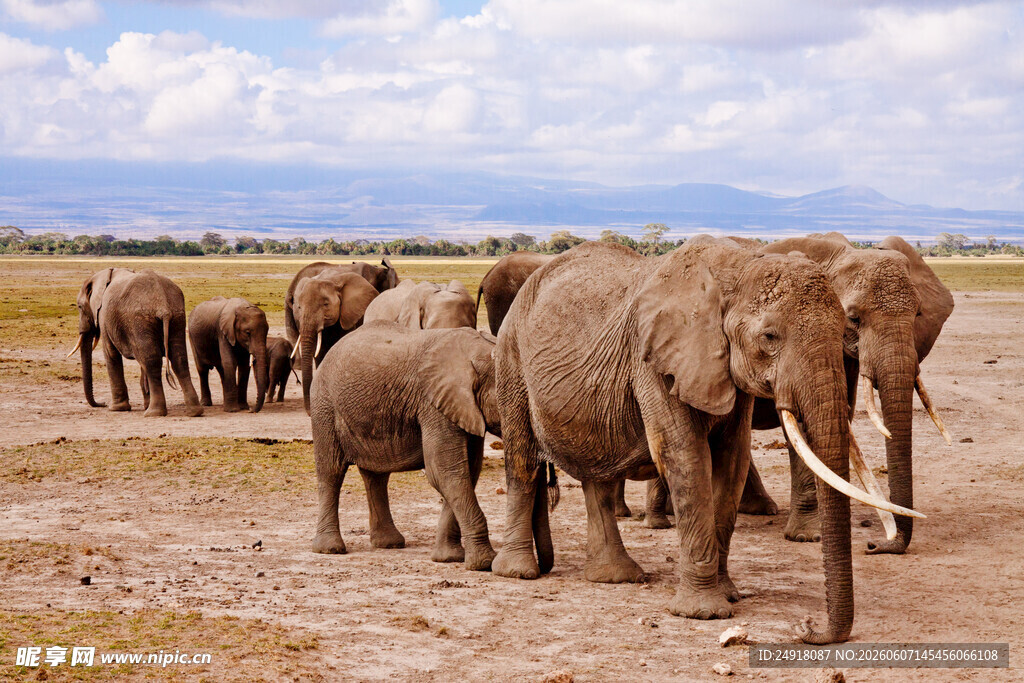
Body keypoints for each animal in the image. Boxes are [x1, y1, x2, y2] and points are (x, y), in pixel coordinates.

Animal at [68, 268, 202, 417]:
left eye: (80, 307)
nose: (102, 404)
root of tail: (163, 304)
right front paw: (144, 404)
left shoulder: (104, 316)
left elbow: (111, 353)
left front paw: (116, 408)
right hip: (177, 316)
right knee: (178, 359)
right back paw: (194, 411)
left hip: (140, 319)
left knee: (152, 362)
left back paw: (153, 413)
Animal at [310, 322, 501, 571]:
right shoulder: (433, 404)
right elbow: (445, 471)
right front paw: (485, 563)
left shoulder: (464, 408)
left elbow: (466, 471)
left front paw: (449, 558)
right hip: (324, 405)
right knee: (331, 471)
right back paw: (330, 549)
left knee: (376, 476)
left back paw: (389, 544)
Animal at [491, 238, 921, 644]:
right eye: (769, 337)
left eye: (843, 329)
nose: (807, 627)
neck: (736, 269)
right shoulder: (654, 361)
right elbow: (687, 458)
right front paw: (704, 613)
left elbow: (732, 461)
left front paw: (728, 593)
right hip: (511, 359)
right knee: (522, 460)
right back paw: (518, 571)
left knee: (597, 473)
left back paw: (614, 577)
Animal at [731, 232, 953, 555]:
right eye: (854, 319)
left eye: (918, 314)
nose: (874, 545)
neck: (843, 253)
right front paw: (809, 536)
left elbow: (840, 416)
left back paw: (760, 508)